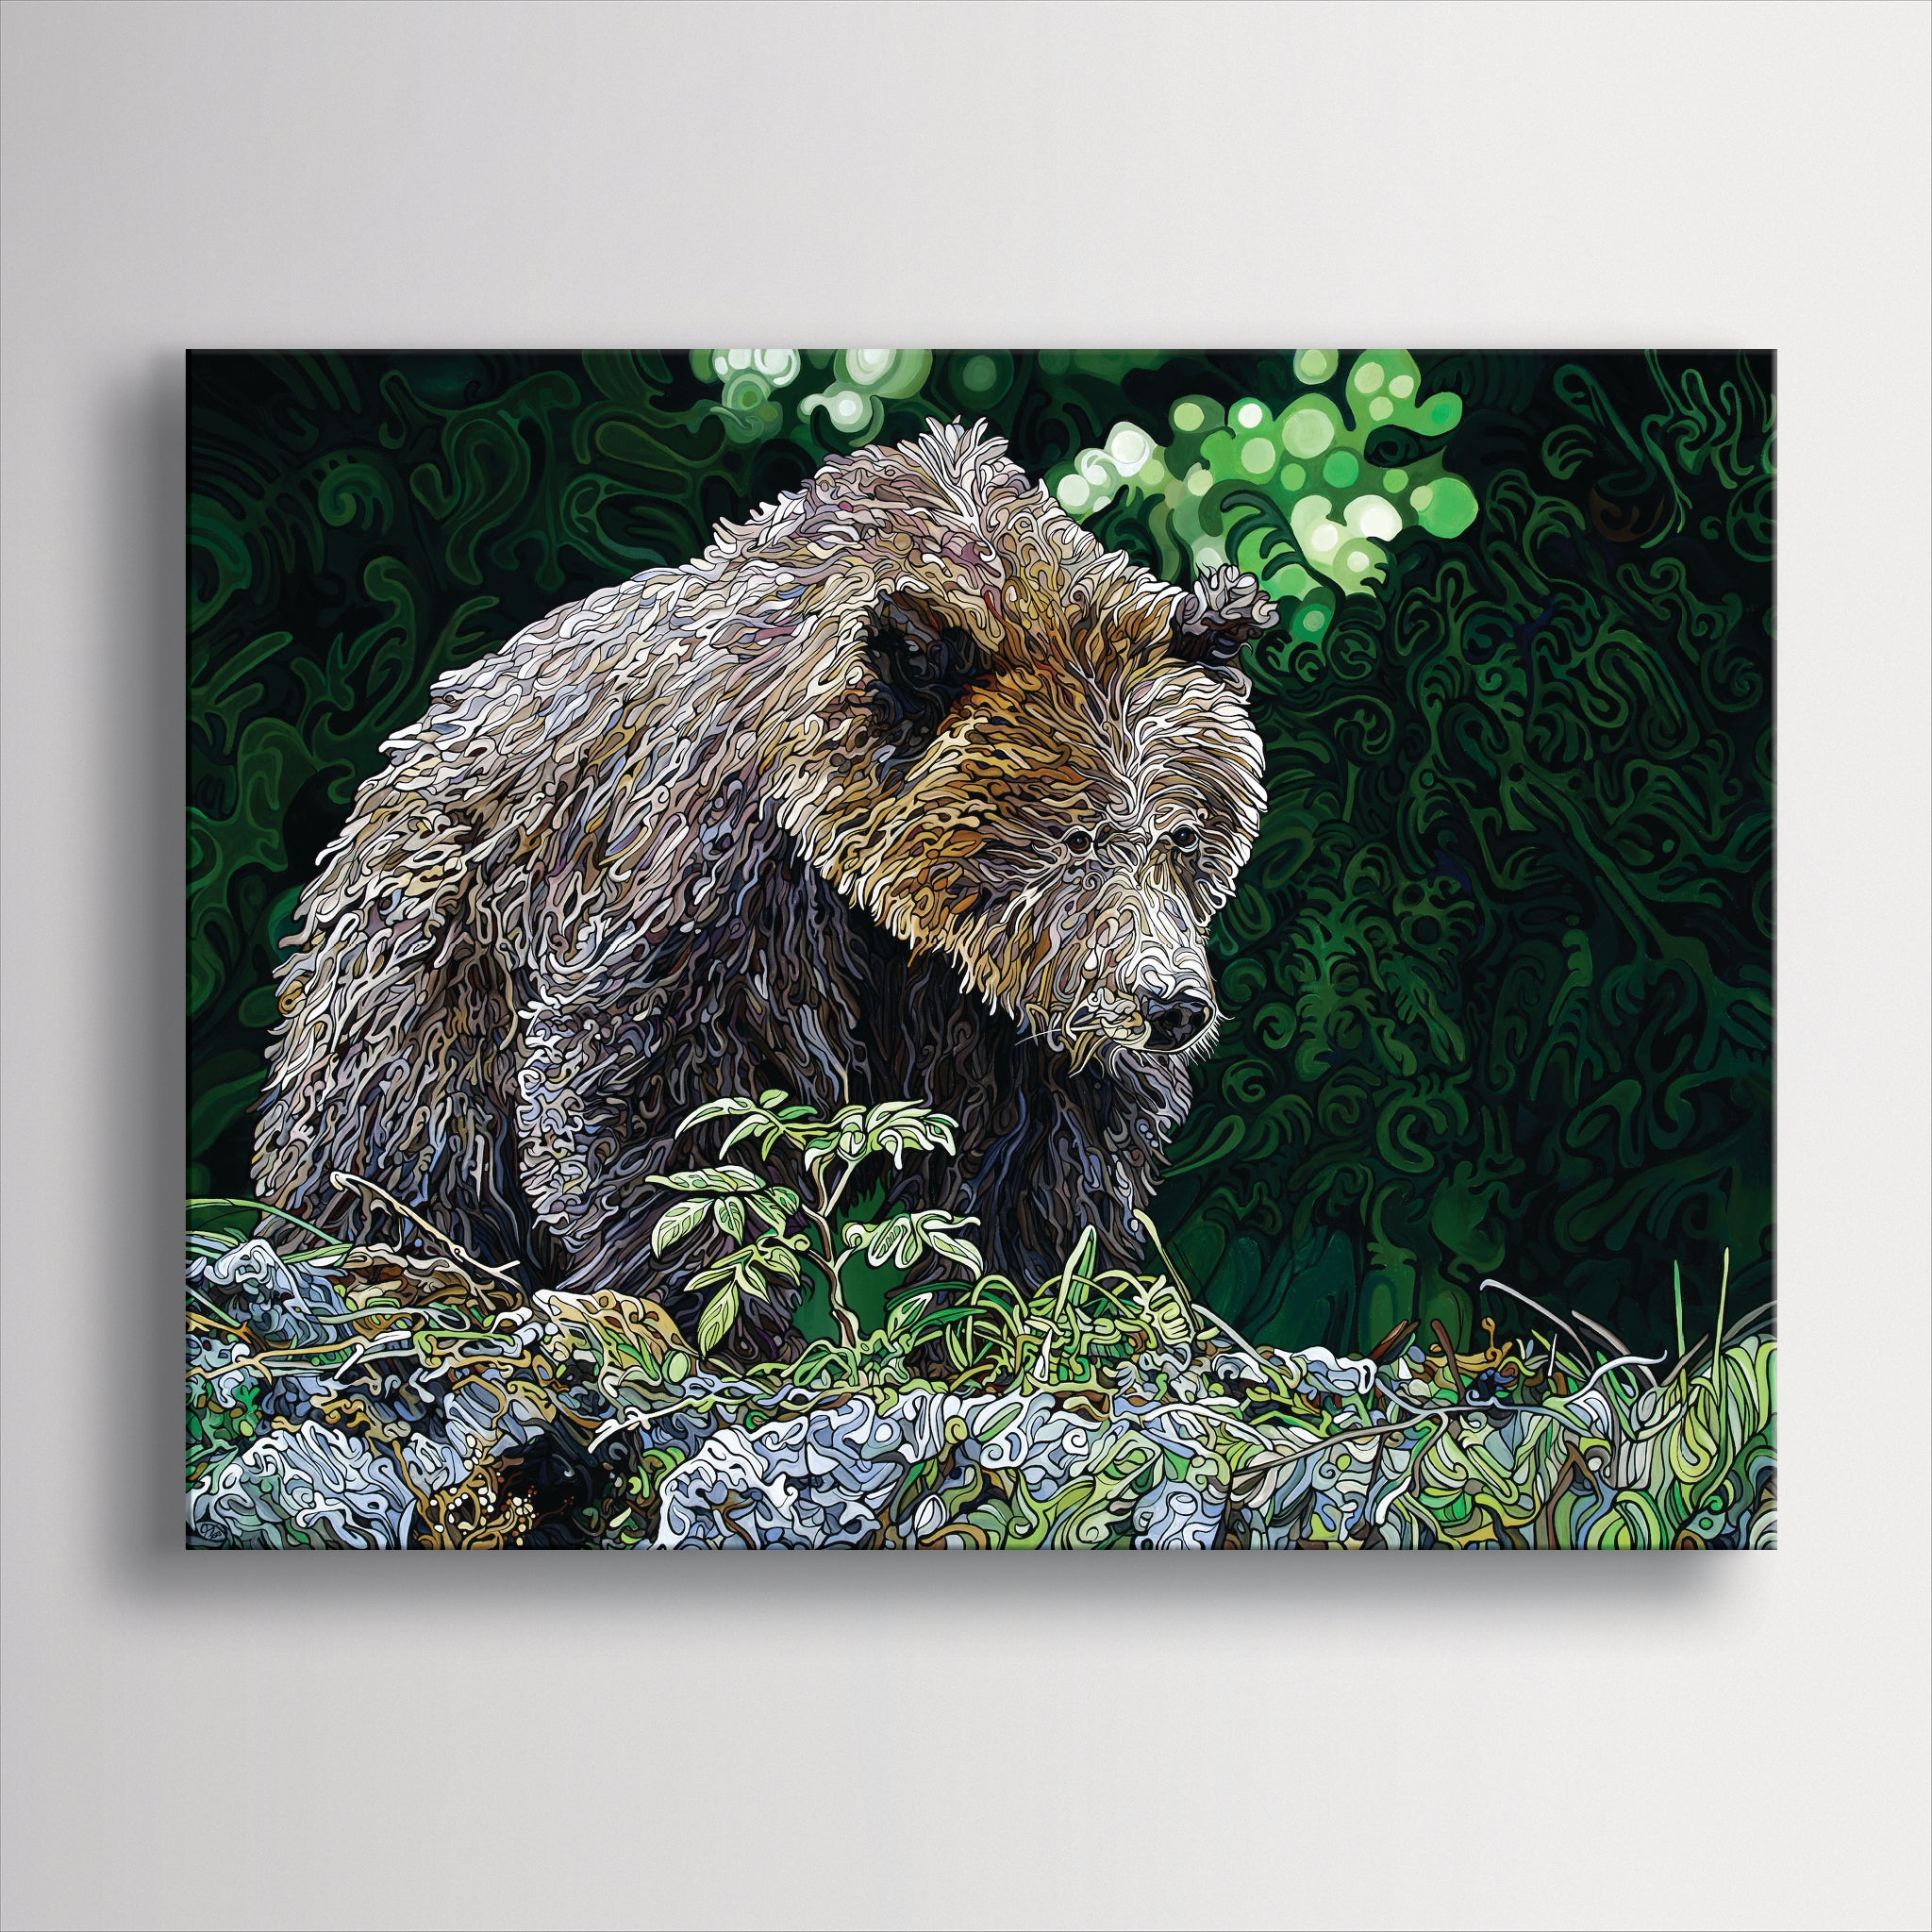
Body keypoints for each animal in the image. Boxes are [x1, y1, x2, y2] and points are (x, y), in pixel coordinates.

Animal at [253, 420, 1273, 1359]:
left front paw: (1024, 1302)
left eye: (1183, 833)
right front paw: (714, 1308)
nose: (1171, 1004)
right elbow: (664, 1076)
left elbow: (1046, 1139)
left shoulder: (1004, 1003)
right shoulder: (731, 874)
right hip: (434, 944)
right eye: (1070, 836)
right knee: (399, 1129)